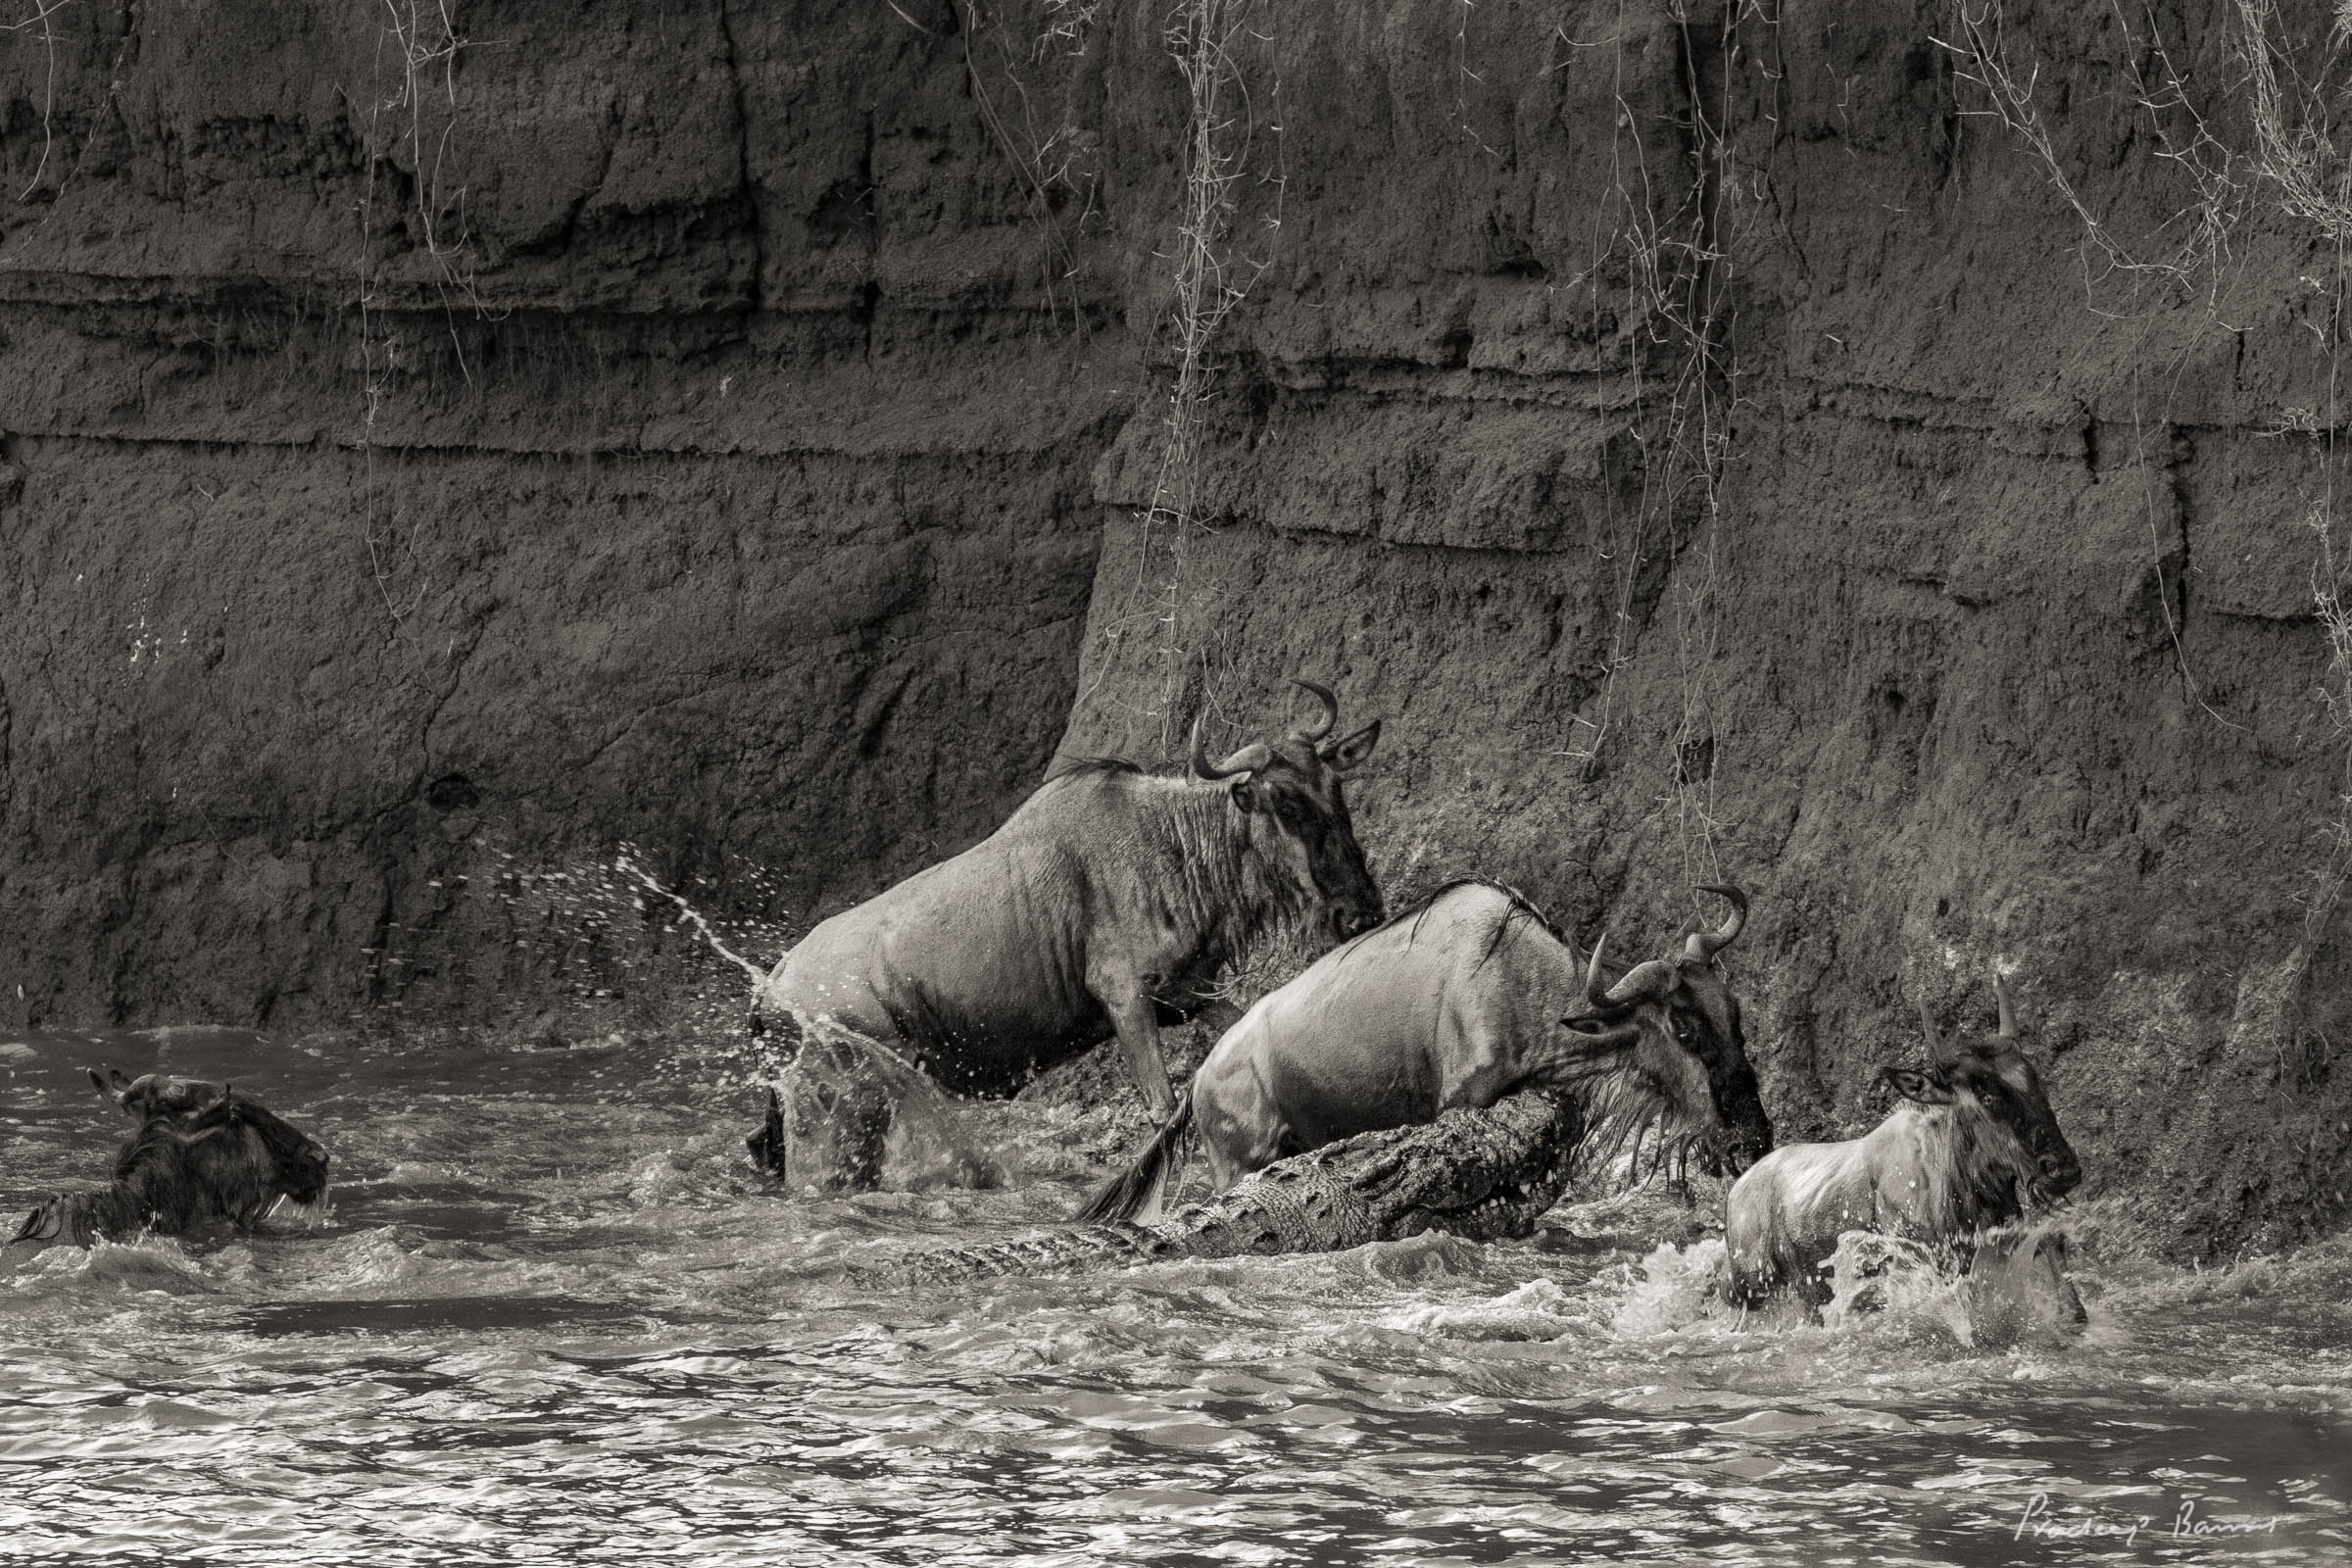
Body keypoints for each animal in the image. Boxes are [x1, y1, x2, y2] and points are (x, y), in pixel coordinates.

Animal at [746, 680, 1385, 1193]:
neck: (1172, 846)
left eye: (1334, 788)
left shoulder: (1185, 994)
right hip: (852, 1095)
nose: (1360, 915)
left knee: (765, 1146)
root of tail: (773, 983)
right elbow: (1163, 1108)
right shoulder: (1125, 998)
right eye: (1283, 803)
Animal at [1076, 879, 1775, 1224]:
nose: (1755, 1140)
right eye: (1682, 1029)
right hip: (1239, 1164)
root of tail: (1199, 1083)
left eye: (1734, 1013)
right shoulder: (1458, 1115)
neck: (1517, 986)